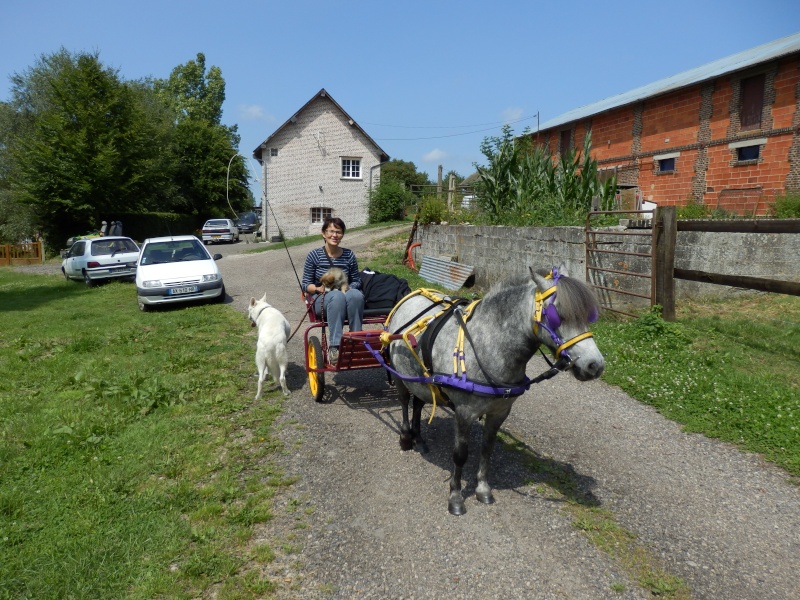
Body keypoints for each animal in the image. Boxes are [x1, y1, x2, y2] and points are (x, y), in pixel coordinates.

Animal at [388, 268, 608, 516]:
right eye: (557, 316)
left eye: (588, 316)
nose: (595, 365)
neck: (488, 344)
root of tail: (413, 294)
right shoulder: (464, 412)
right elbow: (460, 455)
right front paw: (456, 497)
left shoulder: (500, 412)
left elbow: (487, 449)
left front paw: (483, 489)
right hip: (399, 374)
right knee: (405, 401)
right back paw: (406, 437)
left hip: (422, 380)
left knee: (418, 402)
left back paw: (419, 438)